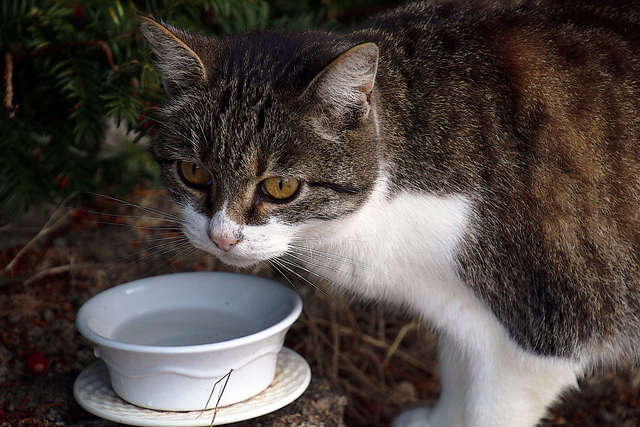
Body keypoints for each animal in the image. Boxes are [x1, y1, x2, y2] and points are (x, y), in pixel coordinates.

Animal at [138, 1, 640, 426]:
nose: (221, 237)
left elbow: (491, 408)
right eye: (193, 172)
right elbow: (459, 378)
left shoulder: (540, 330)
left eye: (281, 187)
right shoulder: (463, 315)